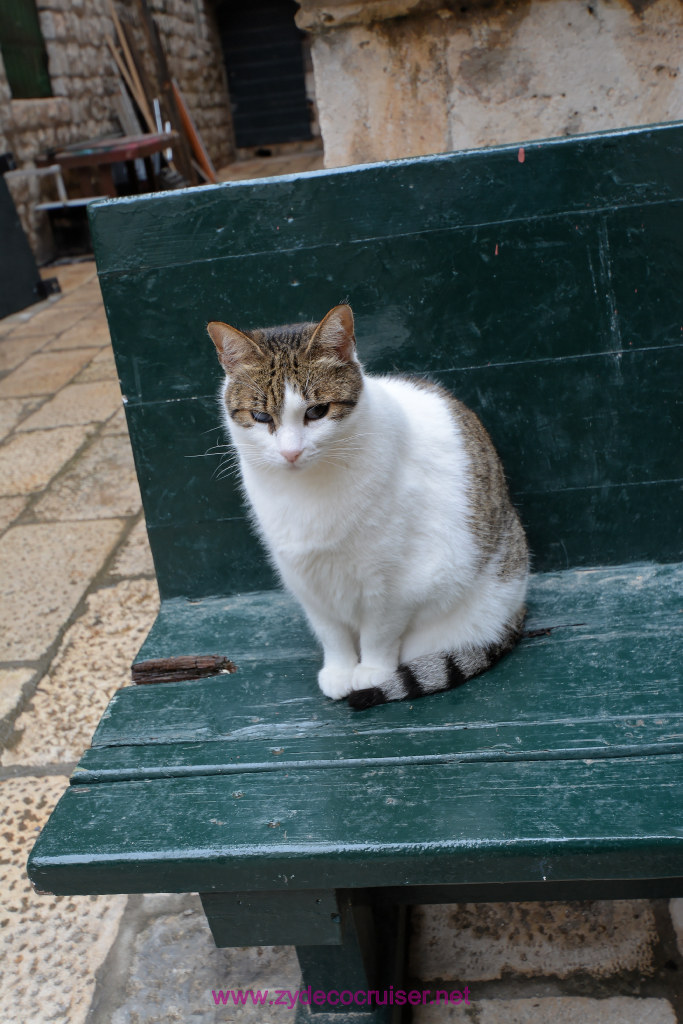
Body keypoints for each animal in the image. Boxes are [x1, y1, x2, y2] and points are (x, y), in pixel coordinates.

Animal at [208, 299, 528, 708]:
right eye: (261, 417)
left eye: (317, 411)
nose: (291, 452)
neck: (306, 491)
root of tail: (516, 611)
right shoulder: (306, 580)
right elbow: (331, 633)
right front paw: (340, 670)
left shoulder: (397, 582)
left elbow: (379, 632)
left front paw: (372, 672)